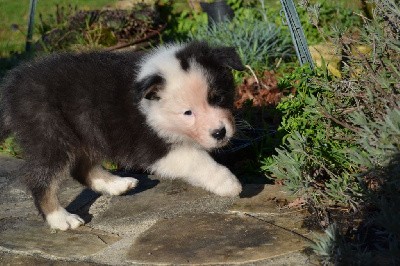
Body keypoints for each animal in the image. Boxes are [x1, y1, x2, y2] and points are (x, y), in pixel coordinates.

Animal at [0, 41, 244, 231]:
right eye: (187, 112)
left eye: (218, 98)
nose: (220, 133)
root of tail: (13, 85)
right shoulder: (151, 146)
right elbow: (196, 159)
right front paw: (228, 183)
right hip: (49, 133)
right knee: (41, 178)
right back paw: (61, 218)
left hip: (87, 130)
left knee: (81, 168)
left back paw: (117, 184)